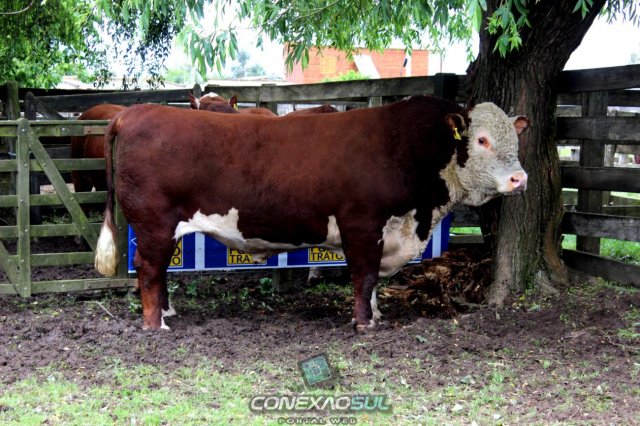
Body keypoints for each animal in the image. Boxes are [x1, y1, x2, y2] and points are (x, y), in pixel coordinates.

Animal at [95, 95, 528, 331]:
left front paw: (376, 314)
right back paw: (156, 324)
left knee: (159, 270)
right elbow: (364, 275)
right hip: (154, 222)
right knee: (148, 269)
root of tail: (134, 112)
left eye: (514, 136)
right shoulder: (361, 223)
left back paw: (168, 311)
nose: (520, 178)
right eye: (482, 140)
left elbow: (372, 279)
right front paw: (365, 323)